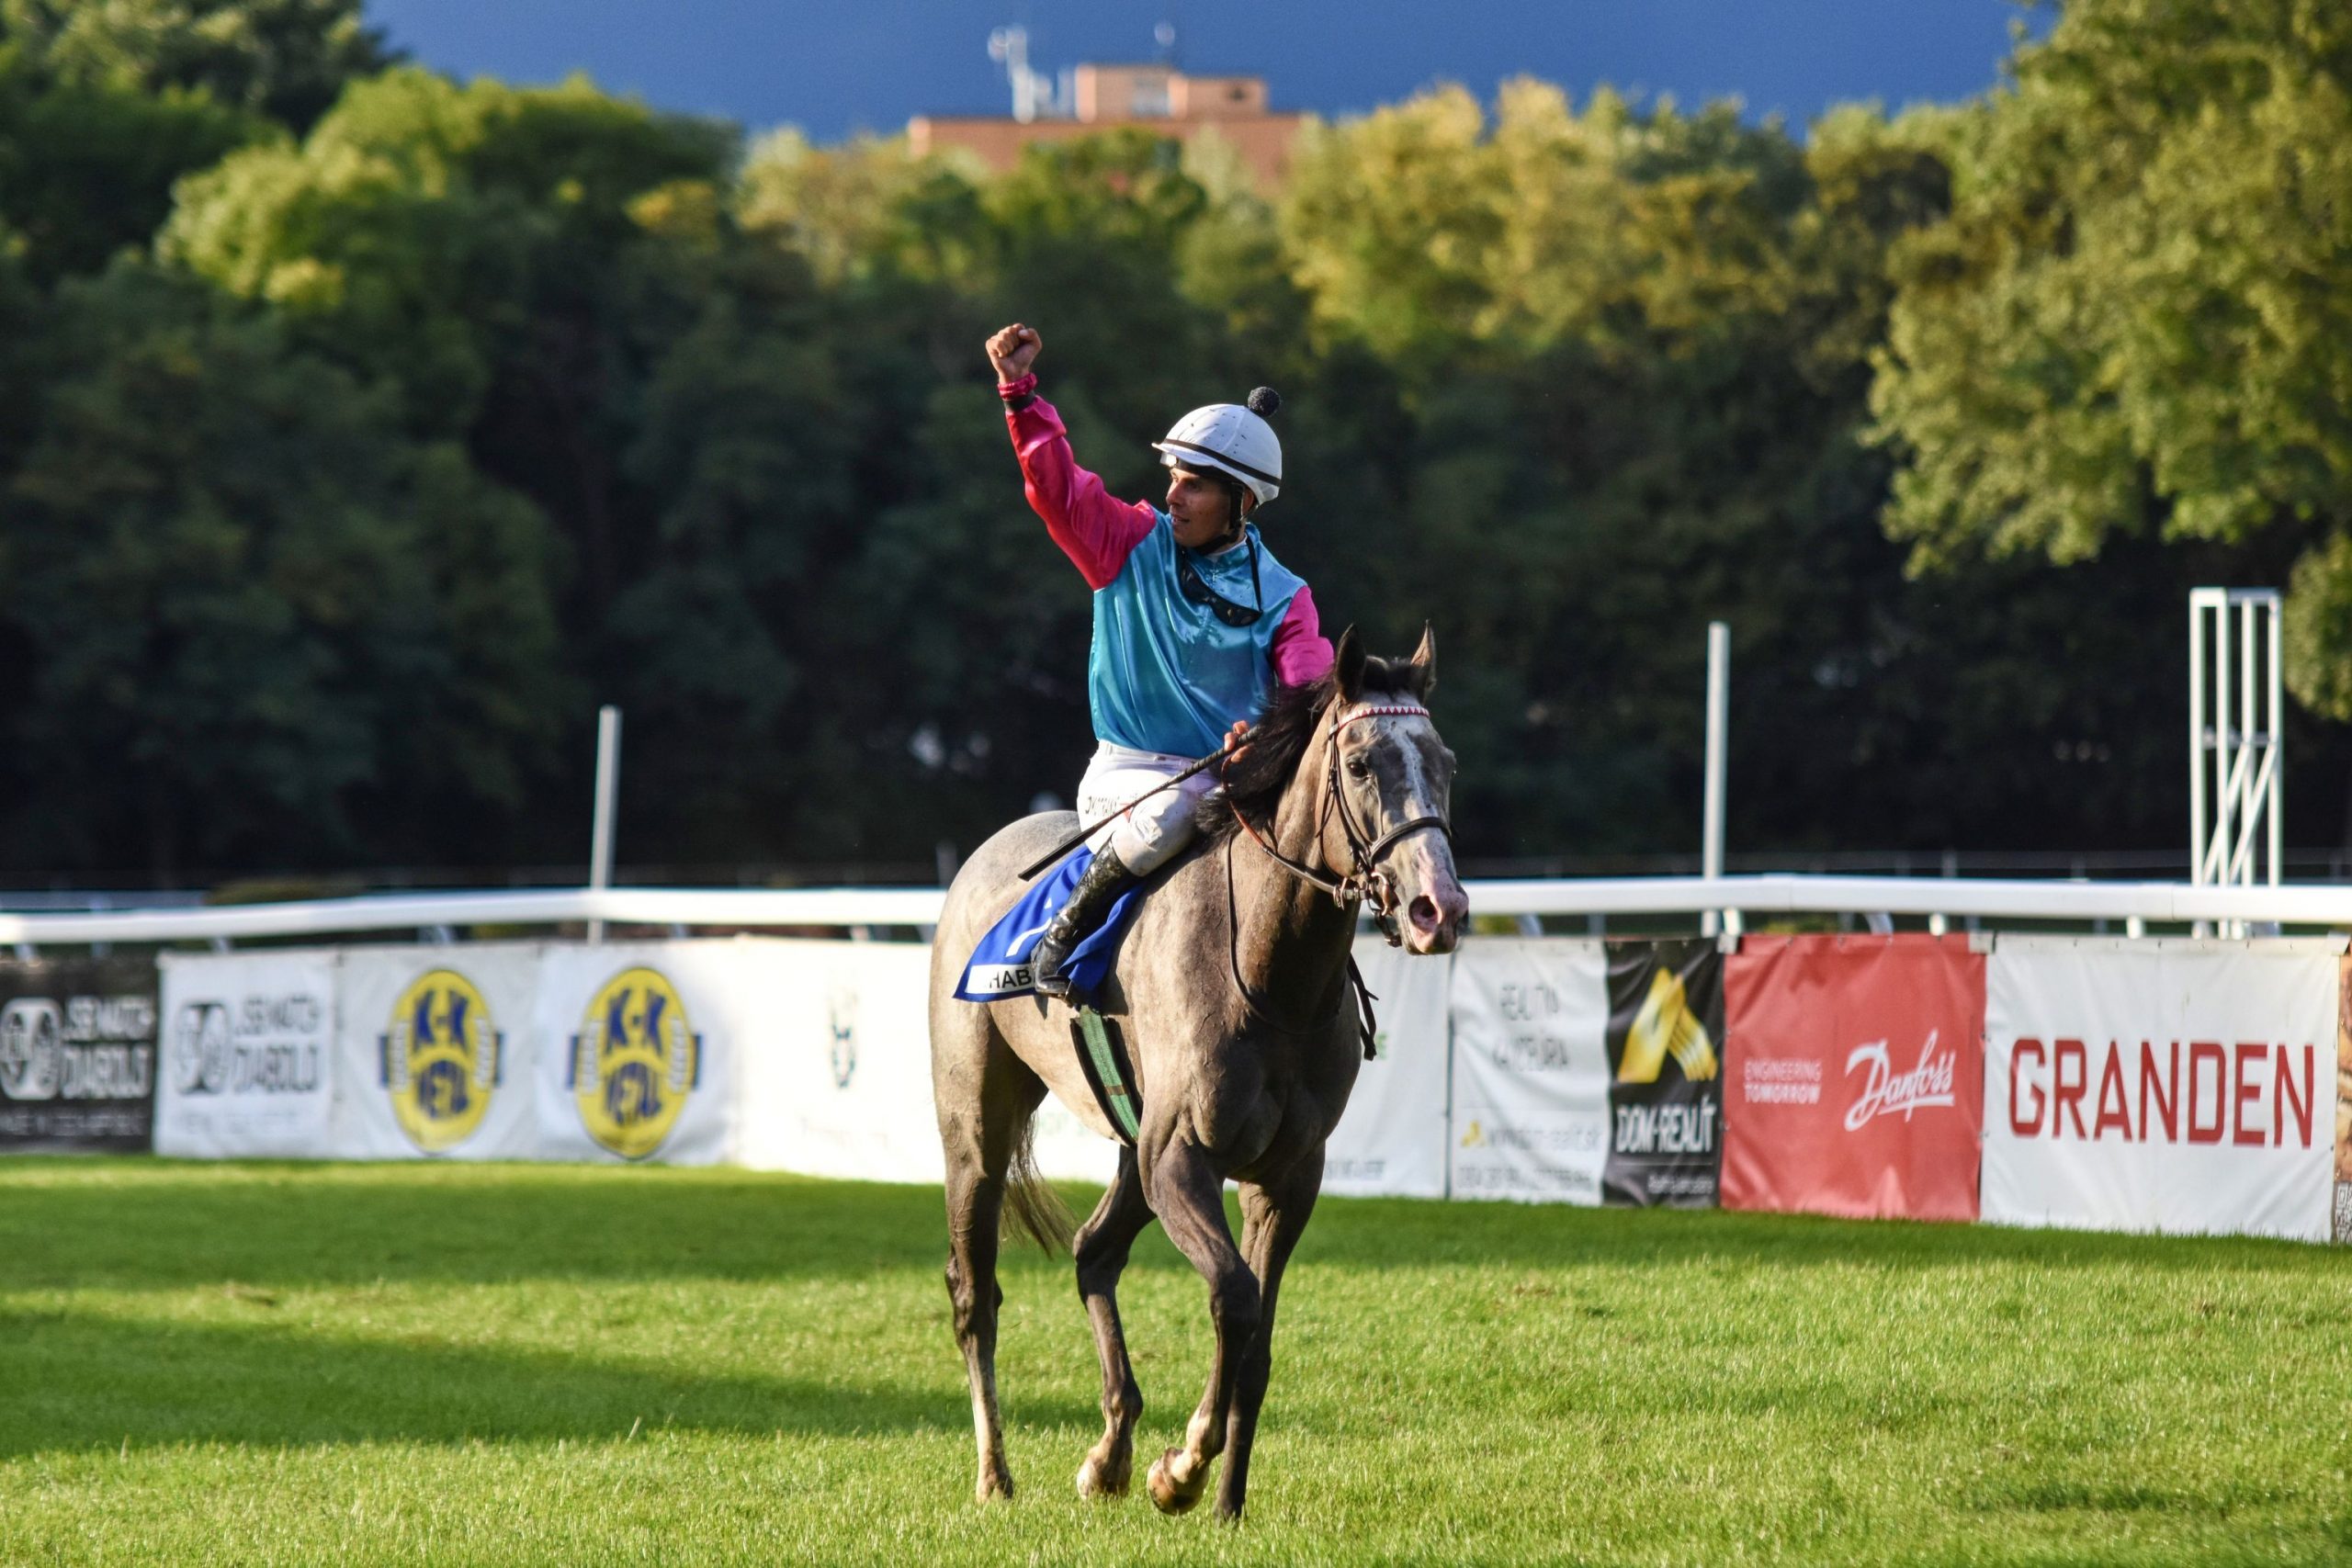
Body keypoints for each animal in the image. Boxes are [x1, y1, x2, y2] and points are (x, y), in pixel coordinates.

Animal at [922, 625, 1458, 1523]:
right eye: (1359, 765)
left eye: (1443, 761)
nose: (1437, 908)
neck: (1271, 972)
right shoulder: (1181, 1157)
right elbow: (1234, 1297)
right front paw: (1183, 1466)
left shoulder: (1286, 1174)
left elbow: (1259, 1342)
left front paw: (1226, 1502)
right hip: (977, 1131)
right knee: (975, 1293)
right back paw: (996, 1473)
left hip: (1131, 1144)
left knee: (1094, 1251)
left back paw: (1108, 1453)